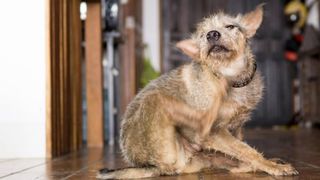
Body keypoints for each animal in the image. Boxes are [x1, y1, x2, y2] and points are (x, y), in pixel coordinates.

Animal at [97, 4, 298, 179]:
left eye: (230, 26)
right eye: (202, 35)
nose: (212, 34)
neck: (231, 77)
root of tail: (150, 165)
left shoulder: (236, 128)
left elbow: (242, 149)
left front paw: (267, 163)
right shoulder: (215, 132)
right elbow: (245, 150)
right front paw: (271, 166)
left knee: (232, 163)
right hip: (160, 113)